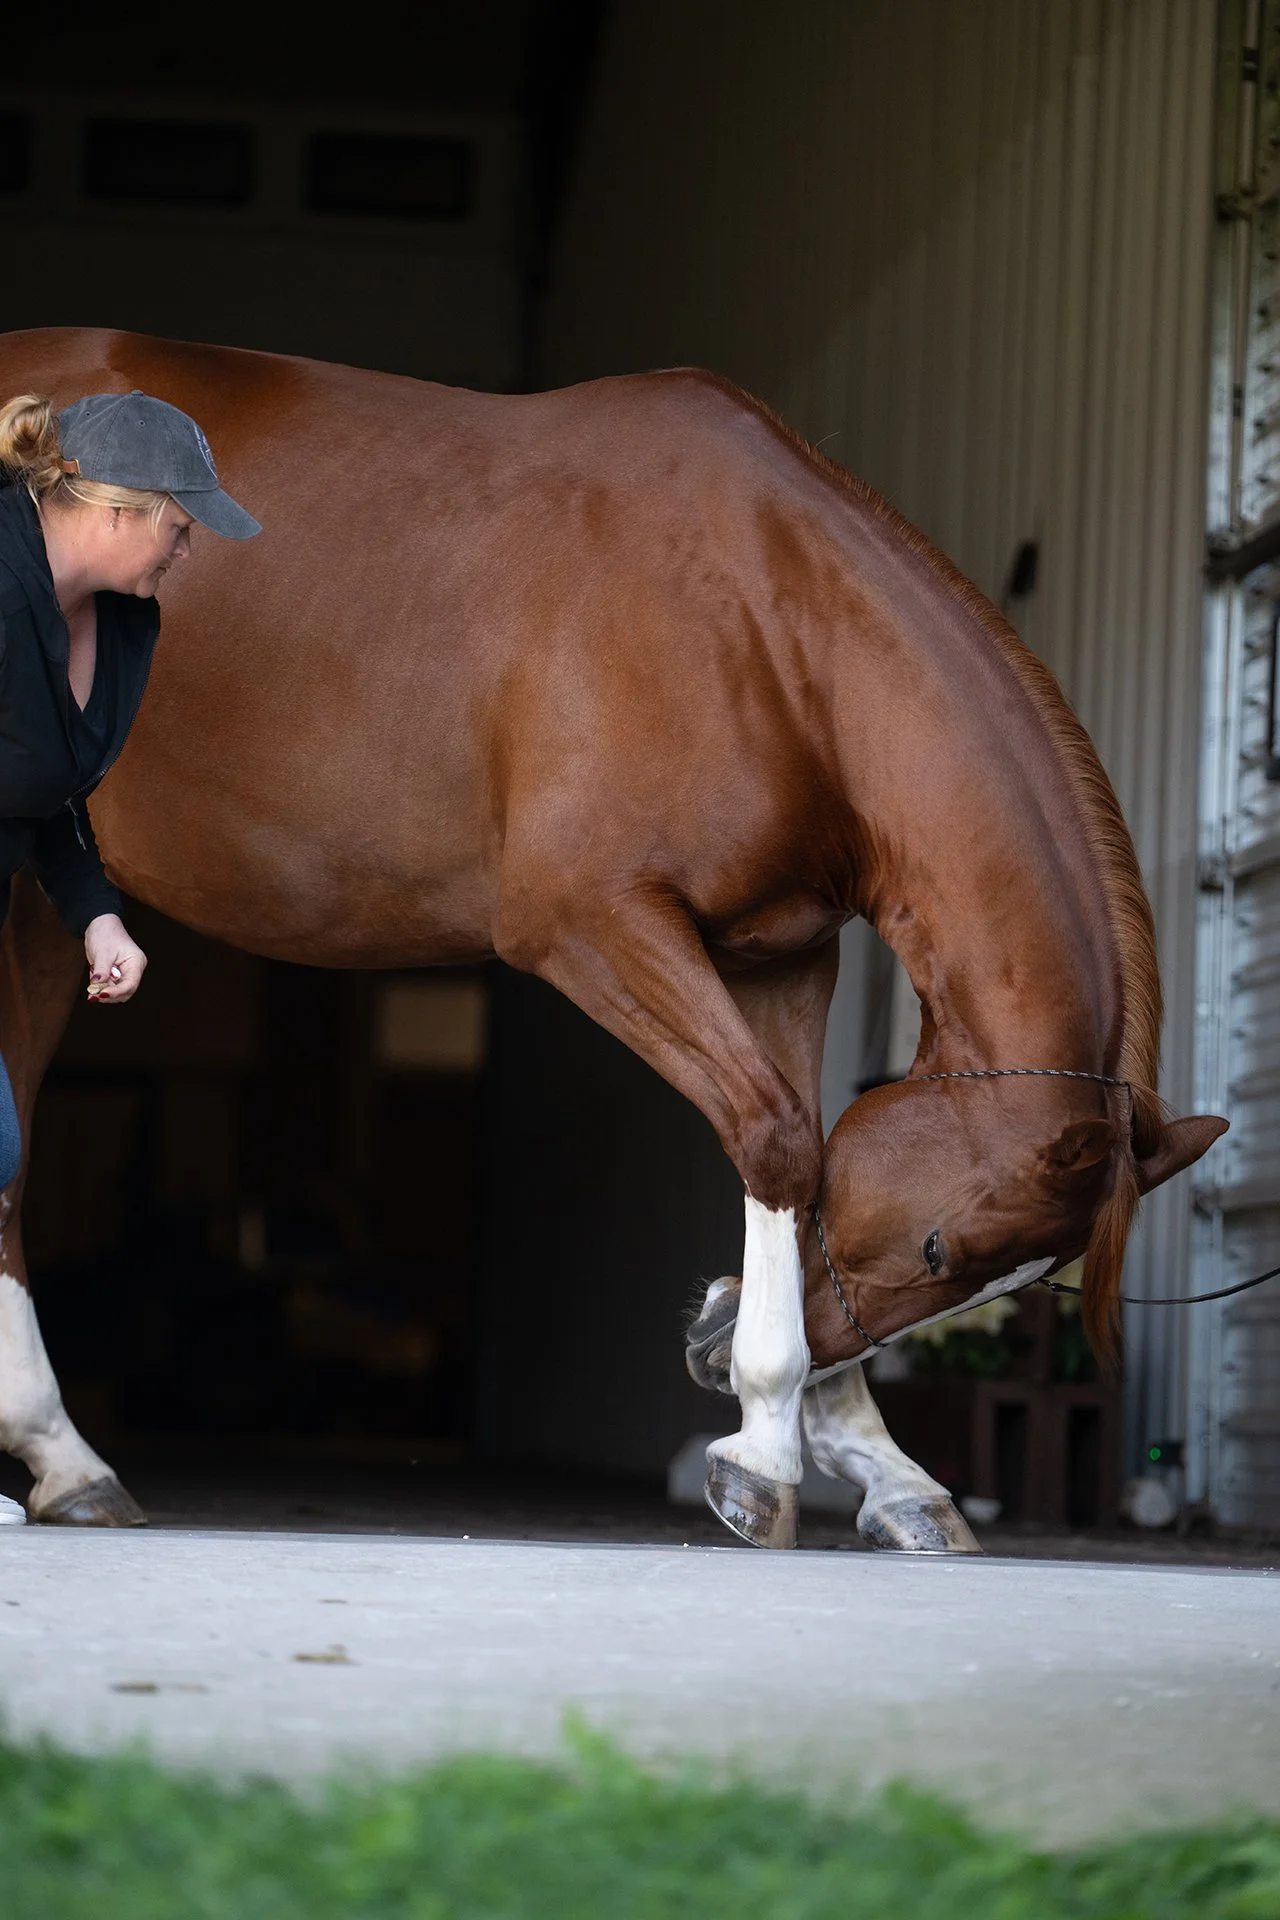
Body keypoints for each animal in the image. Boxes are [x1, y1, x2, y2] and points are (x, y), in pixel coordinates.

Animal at [0, 326, 1225, 1548]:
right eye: (943, 1250)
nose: (706, 1353)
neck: (766, 625)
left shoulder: (779, 955)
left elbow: (811, 1159)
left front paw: (881, 1469)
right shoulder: (588, 921)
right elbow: (779, 1139)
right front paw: (765, 1448)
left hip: (48, 912)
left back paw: (63, 1461)